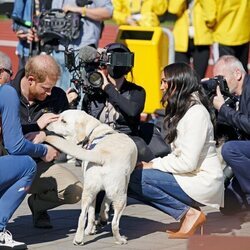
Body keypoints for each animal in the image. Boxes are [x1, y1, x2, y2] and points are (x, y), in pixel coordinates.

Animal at [46, 110, 138, 246]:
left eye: (63, 120)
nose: (47, 125)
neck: (94, 130)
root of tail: (101, 155)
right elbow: (105, 202)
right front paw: (102, 219)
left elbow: (92, 212)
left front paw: (91, 228)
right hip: (121, 197)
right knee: (115, 223)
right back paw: (120, 240)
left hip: (88, 192)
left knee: (82, 216)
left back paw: (79, 239)